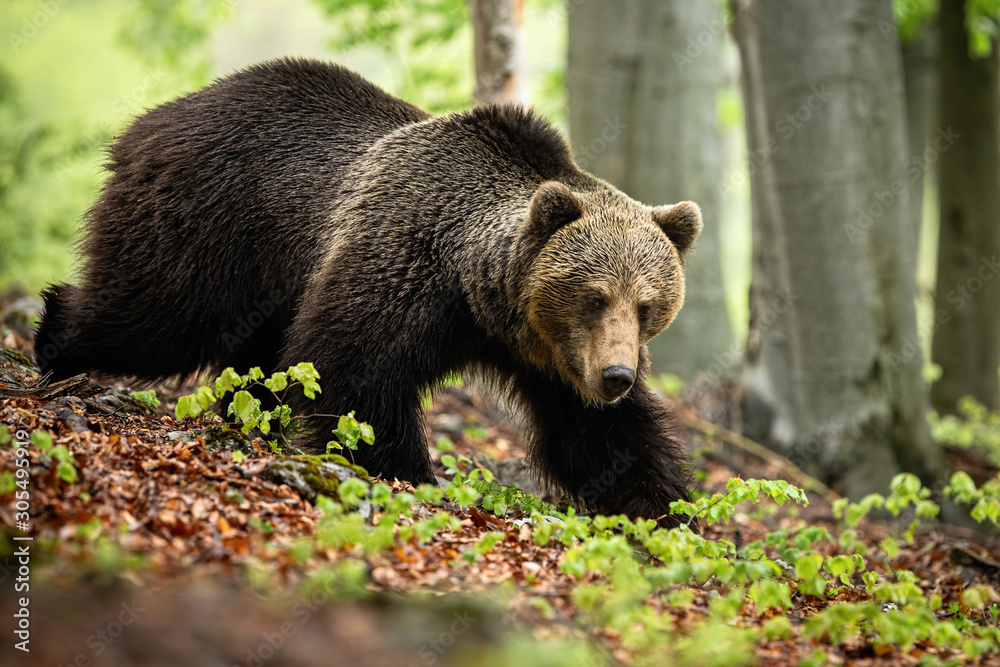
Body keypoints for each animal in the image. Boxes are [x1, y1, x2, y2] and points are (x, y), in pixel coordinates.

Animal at [35, 58, 702, 527]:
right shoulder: (403, 262)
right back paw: (55, 341)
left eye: (647, 306)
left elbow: (600, 436)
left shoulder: (548, 353)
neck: (479, 295)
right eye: (594, 295)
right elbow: (353, 370)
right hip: (210, 223)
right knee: (156, 314)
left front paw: (664, 508)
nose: (616, 376)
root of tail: (151, 119)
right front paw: (411, 470)